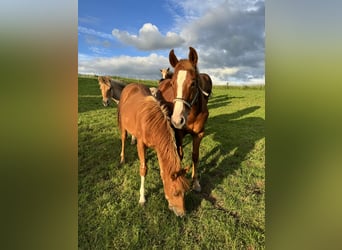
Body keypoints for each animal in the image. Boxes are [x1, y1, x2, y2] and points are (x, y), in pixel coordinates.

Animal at [118, 83, 190, 216]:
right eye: (176, 193)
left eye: (184, 192)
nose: (182, 214)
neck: (151, 123)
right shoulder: (141, 145)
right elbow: (143, 169)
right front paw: (142, 198)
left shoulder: (158, 147)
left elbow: (162, 171)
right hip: (123, 125)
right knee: (123, 139)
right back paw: (122, 158)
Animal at [157, 46, 211, 191]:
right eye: (172, 84)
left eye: (193, 83)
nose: (177, 120)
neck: (190, 115)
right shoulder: (179, 133)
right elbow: (179, 155)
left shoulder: (199, 134)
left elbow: (195, 156)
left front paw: (196, 182)